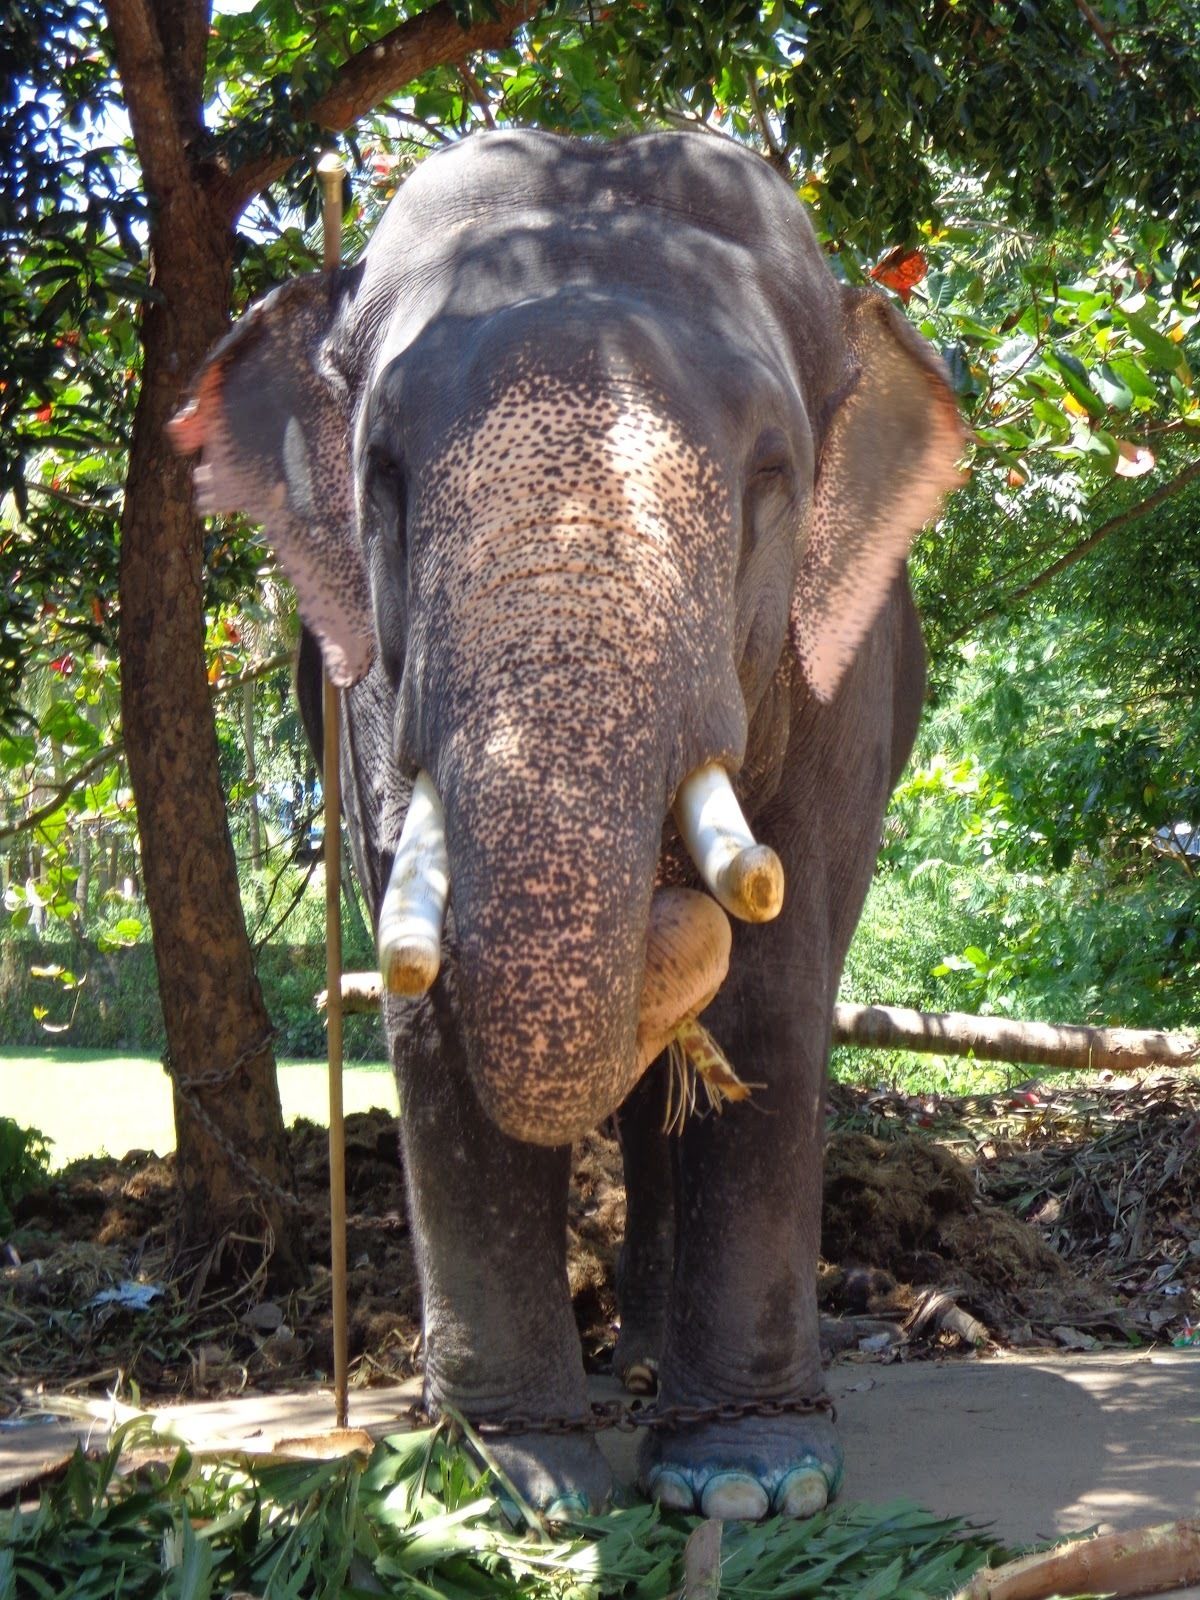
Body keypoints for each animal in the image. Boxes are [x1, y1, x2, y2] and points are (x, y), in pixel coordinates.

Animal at [171, 128, 962, 1521]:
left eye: (773, 478)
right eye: (382, 477)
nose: (669, 899)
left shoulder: (841, 686)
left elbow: (775, 985)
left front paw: (749, 1484)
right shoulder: (375, 697)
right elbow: (430, 1003)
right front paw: (506, 1485)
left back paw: (655, 1372)